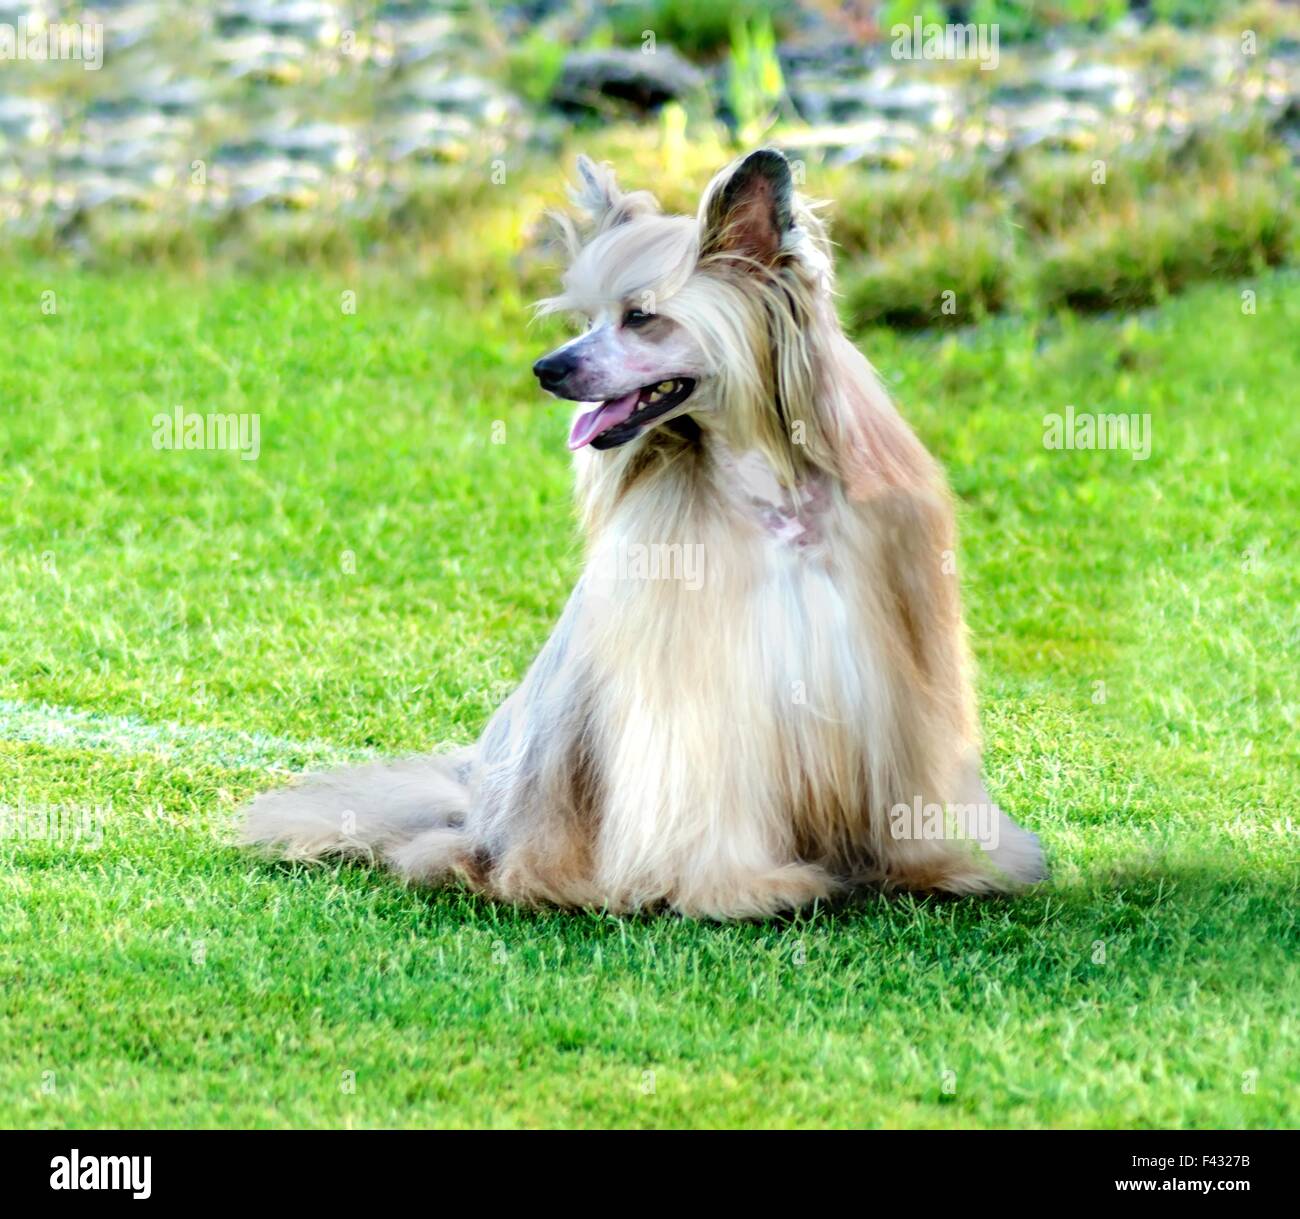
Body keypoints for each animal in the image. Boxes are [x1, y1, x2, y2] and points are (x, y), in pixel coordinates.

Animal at [244, 149, 1050, 914]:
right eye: (587, 319)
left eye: (641, 316)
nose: (547, 368)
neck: (767, 492)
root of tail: (472, 808)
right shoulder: (698, 691)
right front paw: (740, 888)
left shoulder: (892, 686)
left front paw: (939, 869)